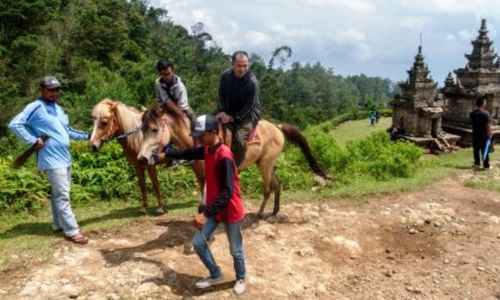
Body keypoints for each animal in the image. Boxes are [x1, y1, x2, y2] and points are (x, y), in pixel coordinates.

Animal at [136, 106, 328, 218]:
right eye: (142, 130)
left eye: (154, 129)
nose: (142, 158)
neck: (198, 140)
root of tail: (278, 127)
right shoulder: (201, 175)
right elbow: (204, 203)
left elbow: (205, 204)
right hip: (265, 163)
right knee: (277, 184)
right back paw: (274, 212)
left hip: (266, 165)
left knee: (267, 188)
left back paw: (260, 214)